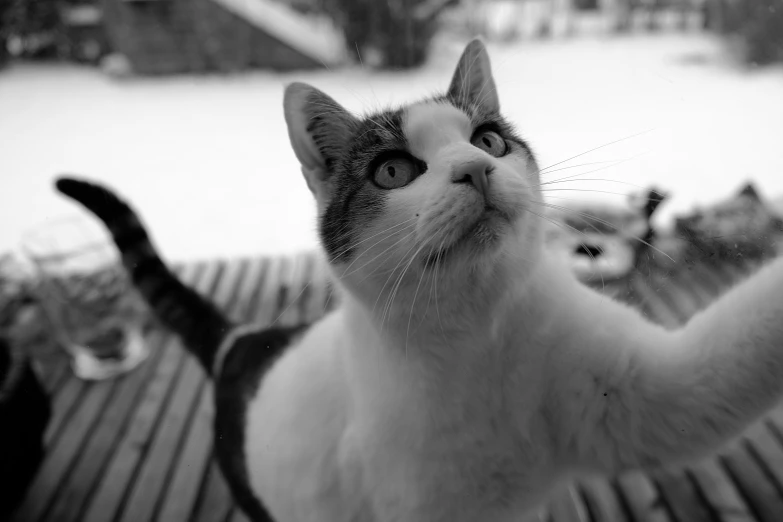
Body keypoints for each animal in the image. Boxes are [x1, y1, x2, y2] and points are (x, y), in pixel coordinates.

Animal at [58, 39, 783, 520]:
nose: (475, 168)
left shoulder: (650, 392)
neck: (481, 338)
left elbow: (713, 372)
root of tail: (243, 341)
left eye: (489, 141)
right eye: (392, 171)